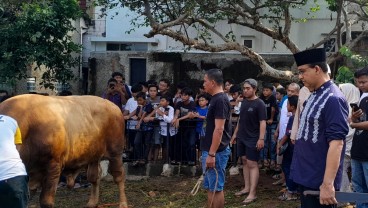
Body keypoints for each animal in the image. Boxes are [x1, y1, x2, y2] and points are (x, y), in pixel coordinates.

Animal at [0, 94, 128, 208]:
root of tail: (112, 105)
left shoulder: (53, 166)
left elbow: (46, 201)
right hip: (93, 155)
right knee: (94, 177)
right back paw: (92, 203)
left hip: (115, 152)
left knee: (119, 176)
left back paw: (123, 203)